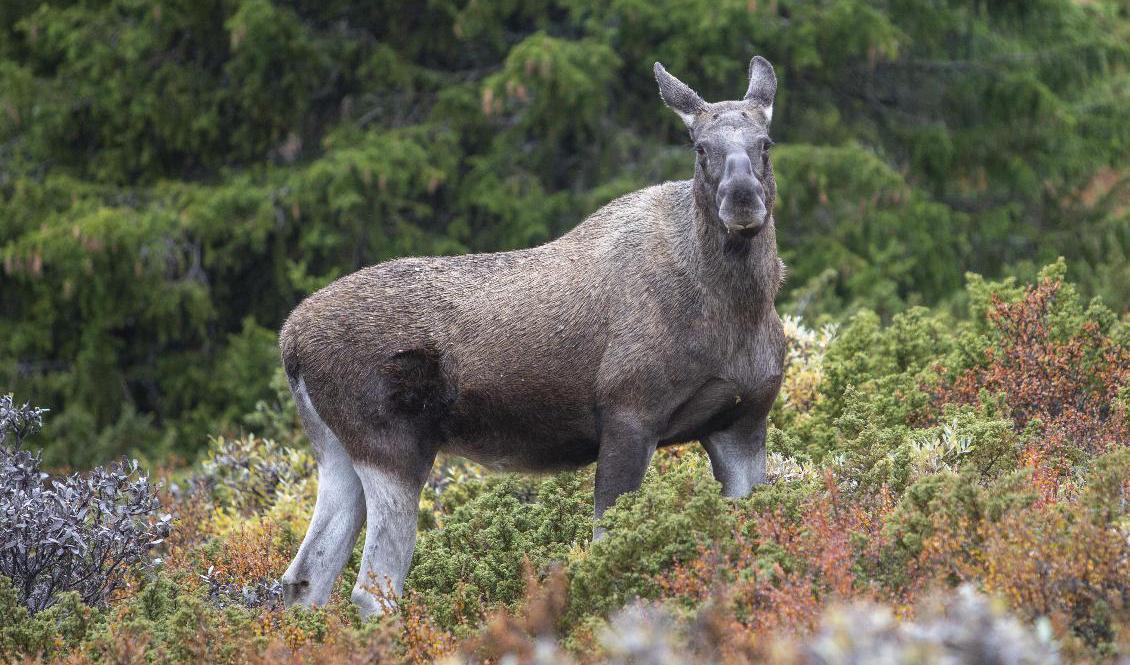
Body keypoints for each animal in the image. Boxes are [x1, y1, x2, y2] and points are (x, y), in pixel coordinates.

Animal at [280, 54, 786, 615]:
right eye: (700, 148)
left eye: (765, 142)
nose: (742, 199)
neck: (735, 312)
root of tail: (290, 341)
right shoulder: (629, 414)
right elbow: (608, 547)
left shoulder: (742, 421)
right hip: (392, 446)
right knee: (370, 589)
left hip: (336, 452)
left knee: (304, 578)